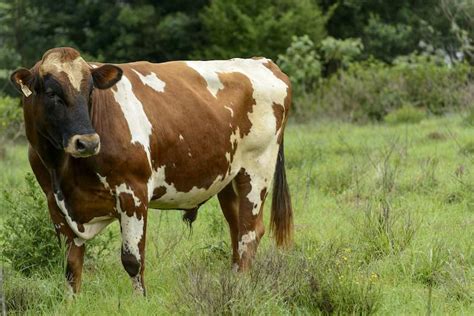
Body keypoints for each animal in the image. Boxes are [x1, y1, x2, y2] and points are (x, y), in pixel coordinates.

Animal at [10, 47, 292, 296]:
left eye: (90, 92)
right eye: (51, 93)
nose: (87, 142)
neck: (63, 168)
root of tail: (263, 62)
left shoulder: (132, 193)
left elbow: (132, 260)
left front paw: (140, 301)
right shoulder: (54, 202)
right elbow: (70, 263)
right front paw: (72, 302)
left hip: (256, 171)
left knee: (248, 233)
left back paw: (241, 286)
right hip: (228, 180)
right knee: (236, 231)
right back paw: (233, 282)